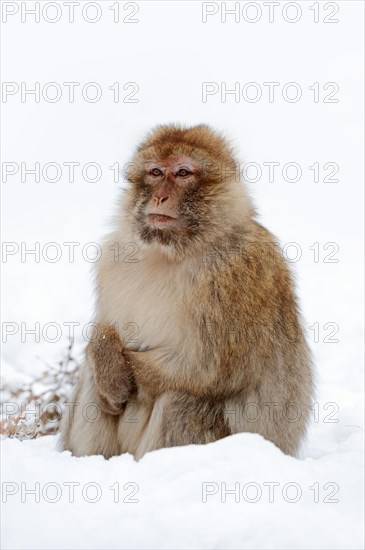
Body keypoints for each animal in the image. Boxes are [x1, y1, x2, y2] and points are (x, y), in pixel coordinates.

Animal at [59, 124, 312, 462]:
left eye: (182, 173)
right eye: (155, 172)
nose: (160, 196)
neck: (172, 253)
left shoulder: (237, 276)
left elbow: (205, 369)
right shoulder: (111, 259)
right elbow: (105, 331)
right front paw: (109, 365)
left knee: (183, 399)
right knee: (91, 377)